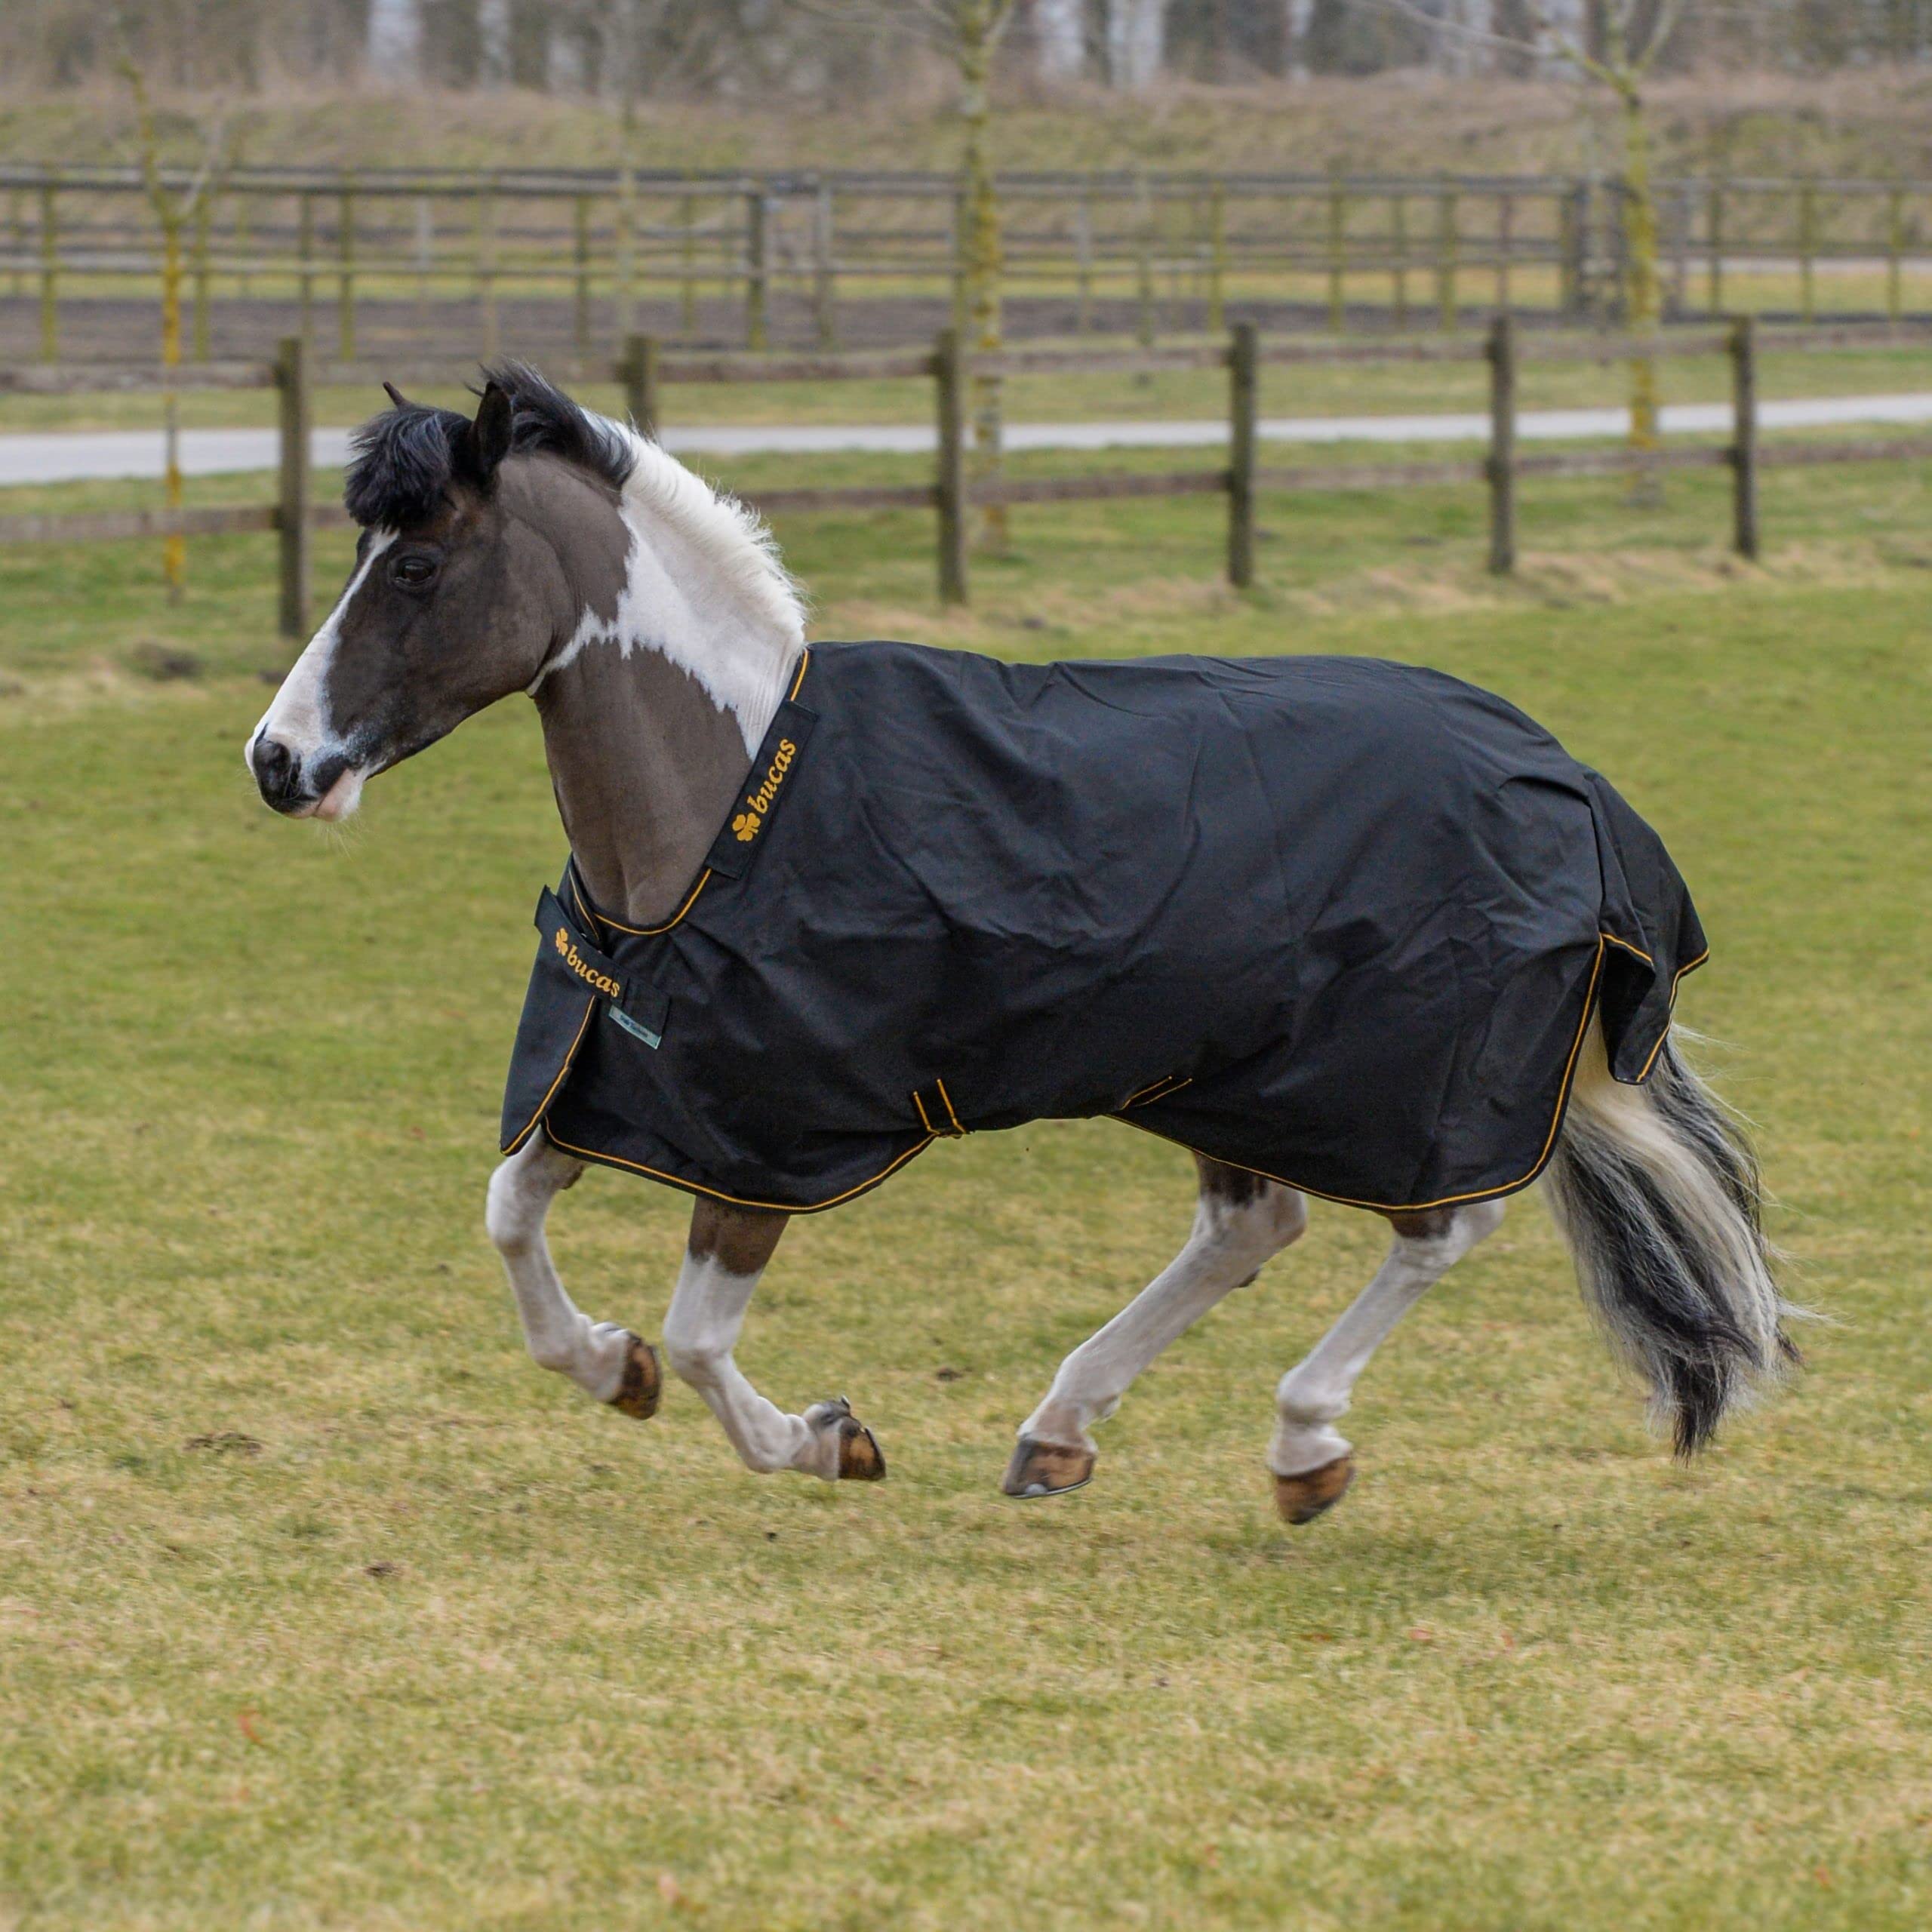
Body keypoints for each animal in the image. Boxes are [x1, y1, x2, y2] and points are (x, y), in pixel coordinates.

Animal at [246, 365, 1795, 1520]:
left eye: (418, 566)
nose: (277, 763)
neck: (727, 807)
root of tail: (1570, 780)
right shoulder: (618, 1084)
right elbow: (512, 1221)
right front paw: (605, 1365)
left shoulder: (768, 1137)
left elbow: (697, 1339)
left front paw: (826, 1439)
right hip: (1228, 1074)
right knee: (1254, 1227)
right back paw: (1060, 1432)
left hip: (1393, 1085)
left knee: (1441, 1226)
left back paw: (1303, 1445)